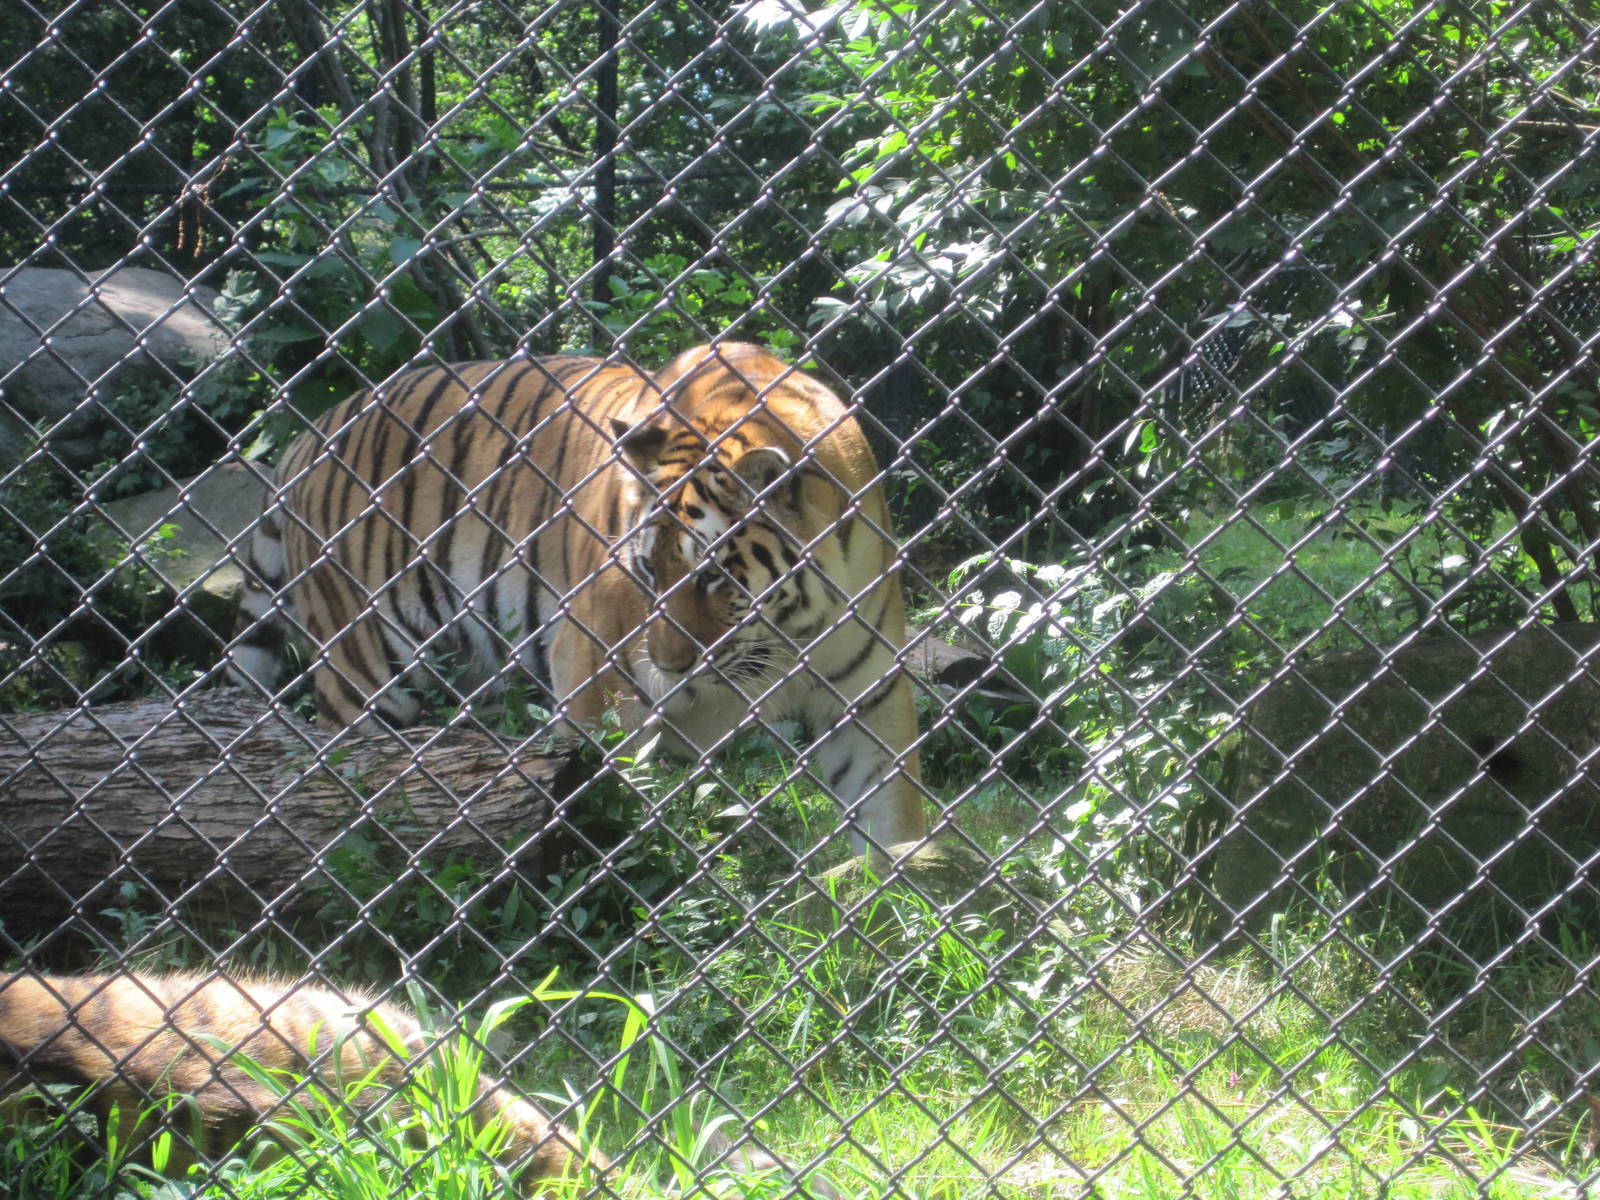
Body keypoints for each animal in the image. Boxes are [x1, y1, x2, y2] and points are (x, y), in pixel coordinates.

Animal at [229, 341, 927, 855]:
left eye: (712, 576)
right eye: (647, 571)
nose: (670, 667)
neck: (788, 635)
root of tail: (311, 432)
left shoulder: (870, 694)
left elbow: (890, 819)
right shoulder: (597, 677)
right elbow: (611, 802)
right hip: (366, 671)